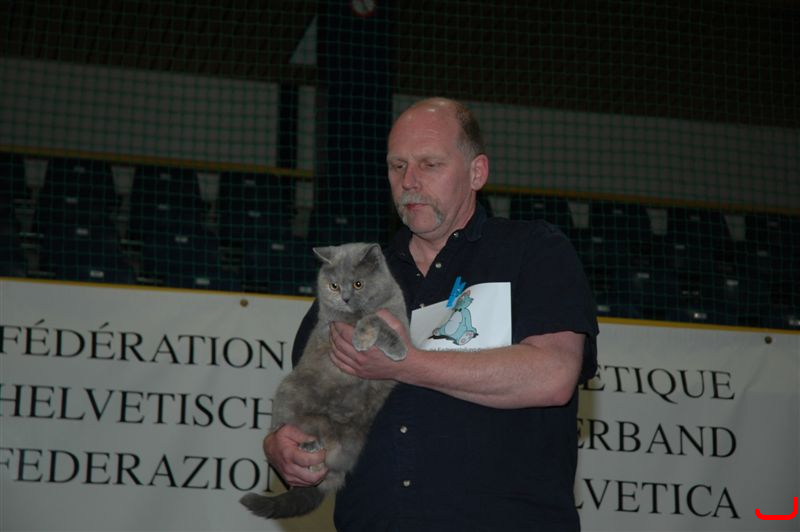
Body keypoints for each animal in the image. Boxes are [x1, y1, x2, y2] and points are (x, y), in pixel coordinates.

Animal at [240, 242, 409, 520]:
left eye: (358, 284)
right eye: (334, 286)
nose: (345, 298)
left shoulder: (397, 315)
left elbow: (377, 318)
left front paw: (394, 347)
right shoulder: (330, 326)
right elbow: (369, 319)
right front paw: (364, 339)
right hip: (288, 394)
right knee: (284, 427)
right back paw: (309, 447)